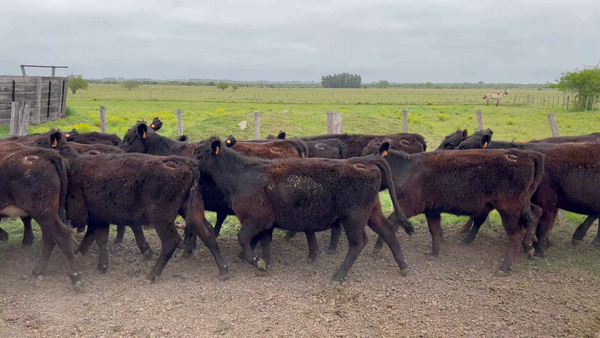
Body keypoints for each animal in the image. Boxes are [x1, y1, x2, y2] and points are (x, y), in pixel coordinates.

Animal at [0, 140, 82, 286]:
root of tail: (43, 153)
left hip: (42, 213)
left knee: (62, 235)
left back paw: (75, 277)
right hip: (48, 213)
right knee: (50, 237)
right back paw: (39, 270)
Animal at [48, 132, 229, 280]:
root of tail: (185, 165)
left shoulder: (96, 216)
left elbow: (98, 238)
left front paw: (95, 262)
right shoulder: (100, 217)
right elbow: (98, 238)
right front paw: (96, 262)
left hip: (161, 220)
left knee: (171, 241)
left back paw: (152, 275)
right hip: (192, 210)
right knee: (207, 232)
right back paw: (223, 270)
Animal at [191, 136, 412, 282]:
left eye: (198, 154)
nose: (189, 165)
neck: (242, 175)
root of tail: (365, 162)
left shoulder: (256, 219)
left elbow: (243, 238)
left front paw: (255, 261)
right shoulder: (266, 222)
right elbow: (265, 243)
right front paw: (264, 262)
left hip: (354, 218)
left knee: (358, 243)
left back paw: (338, 275)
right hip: (372, 212)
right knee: (388, 230)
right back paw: (403, 266)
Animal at [360, 143, 544, 274]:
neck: (408, 169)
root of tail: (524, 155)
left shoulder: (409, 205)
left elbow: (391, 221)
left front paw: (378, 246)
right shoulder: (431, 210)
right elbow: (434, 230)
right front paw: (434, 253)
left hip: (510, 209)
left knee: (516, 234)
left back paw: (504, 266)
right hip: (522, 204)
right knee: (534, 215)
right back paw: (529, 247)